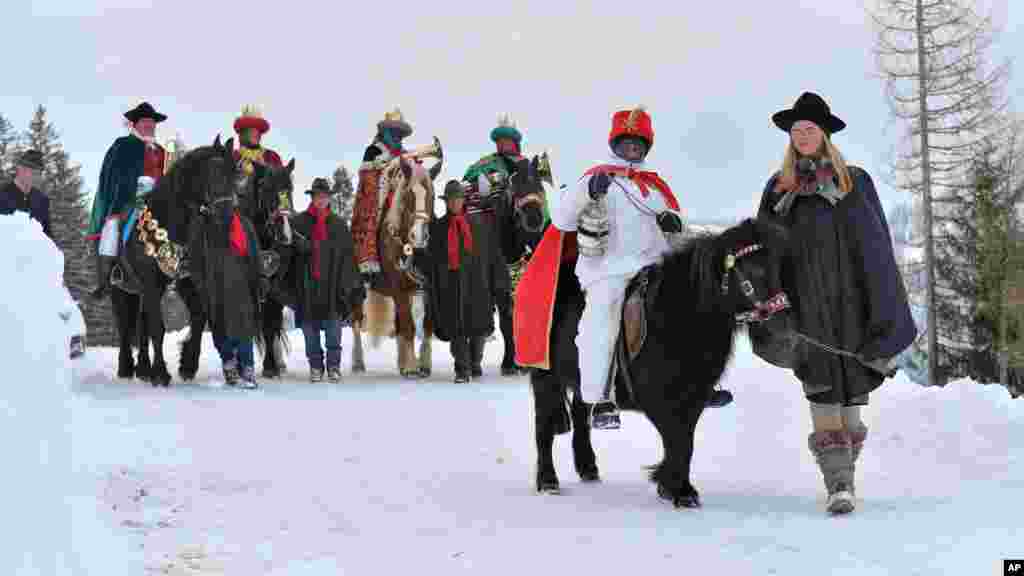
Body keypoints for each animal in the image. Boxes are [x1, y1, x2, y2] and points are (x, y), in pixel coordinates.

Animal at [111, 135, 237, 385]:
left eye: (235, 174)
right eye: (215, 172)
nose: (227, 215)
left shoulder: (187, 280)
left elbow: (198, 316)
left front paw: (187, 364)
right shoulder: (152, 283)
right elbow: (158, 328)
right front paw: (161, 373)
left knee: (141, 323)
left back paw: (143, 368)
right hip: (120, 289)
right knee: (124, 324)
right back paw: (126, 367)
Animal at [352, 154, 436, 377]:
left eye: (432, 196)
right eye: (408, 195)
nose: (419, 236)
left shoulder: (429, 288)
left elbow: (426, 324)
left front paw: (423, 364)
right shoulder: (399, 289)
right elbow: (408, 326)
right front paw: (412, 366)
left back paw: (401, 362)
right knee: (356, 322)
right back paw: (358, 363)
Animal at [532, 217, 794, 504]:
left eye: (776, 267)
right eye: (752, 270)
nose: (784, 329)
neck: (678, 315)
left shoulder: (694, 396)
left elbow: (685, 441)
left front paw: (672, 486)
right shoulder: (657, 398)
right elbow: (676, 439)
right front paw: (678, 490)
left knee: (581, 413)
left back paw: (588, 467)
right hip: (544, 377)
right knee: (543, 426)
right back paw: (547, 480)